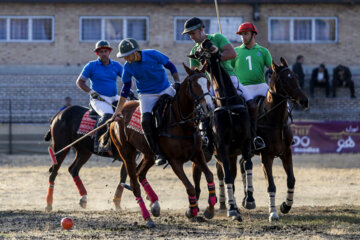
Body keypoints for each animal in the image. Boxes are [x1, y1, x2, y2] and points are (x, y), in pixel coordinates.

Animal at [109, 64, 217, 229]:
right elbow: (190, 187)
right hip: (127, 154)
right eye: (194, 85)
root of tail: (117, 114)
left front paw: (210, 209)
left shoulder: (197, 154)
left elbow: (210, 175)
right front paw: (191, 211)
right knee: (134, 183)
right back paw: (148, 217)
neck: (182, 123)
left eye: (208, 82)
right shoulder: (174, 161)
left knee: (140, 173)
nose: (210, 108)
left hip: (148, 154)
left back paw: (155, 204)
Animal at [191, 40, 253, 221]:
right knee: (198, 173)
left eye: (211, 44)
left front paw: (249, 200)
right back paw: (199, 207)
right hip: (205, 152)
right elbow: (227, 177)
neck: (227, 103)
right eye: (197, 52)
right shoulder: (222, 147)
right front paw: (231, 209)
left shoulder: (245, 143)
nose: (205, 44)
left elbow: (247, 166)